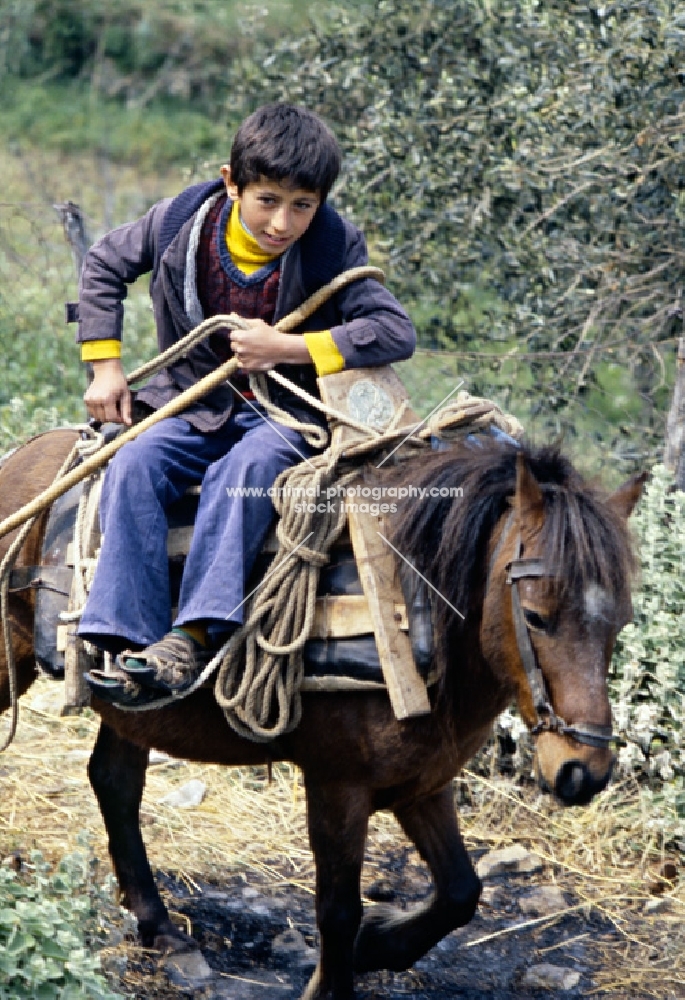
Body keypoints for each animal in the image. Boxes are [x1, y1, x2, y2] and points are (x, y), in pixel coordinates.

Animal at [0, 430, 640, 1000]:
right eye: (534, 616)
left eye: (620, 620)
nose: (583, 770)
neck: (406, 611)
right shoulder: (338, 785)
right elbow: (337, 908)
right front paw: (337, 976)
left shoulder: (423, 783)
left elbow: (461, 890)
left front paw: (378, 946)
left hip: (133, 711)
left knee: (114, 783)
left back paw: (160, 928)